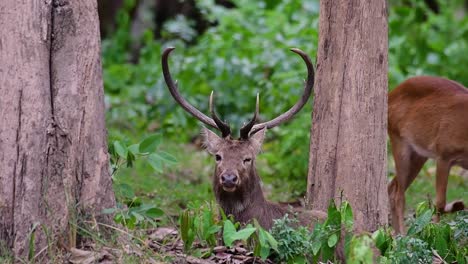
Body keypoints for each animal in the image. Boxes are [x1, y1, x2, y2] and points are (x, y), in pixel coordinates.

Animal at [388, 75, 468, 234]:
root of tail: (390, 95)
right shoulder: (444, 155)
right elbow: (440, 202)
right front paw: (437, 233)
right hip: (398, 140)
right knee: (399, 194)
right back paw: (404, 235)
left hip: (419, 154)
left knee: (392, 186)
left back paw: (395, 234)